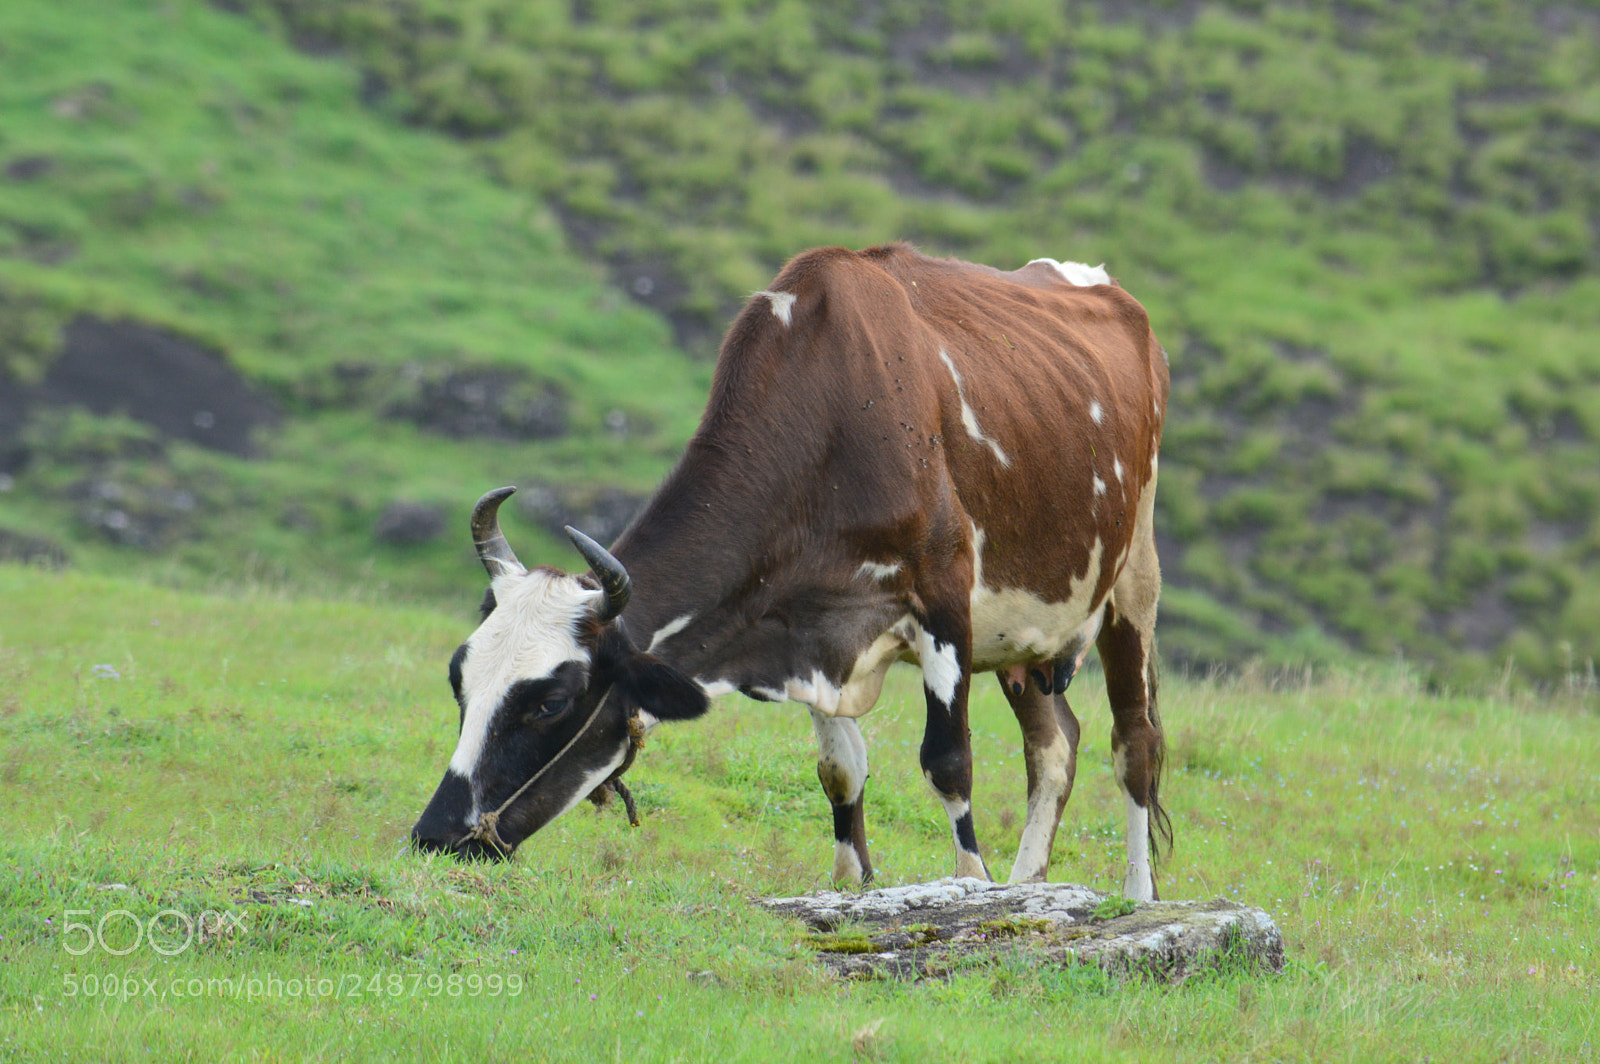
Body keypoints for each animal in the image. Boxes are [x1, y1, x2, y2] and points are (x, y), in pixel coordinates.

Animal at [410, 243, 1172, 899]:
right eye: (459, 679)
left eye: (551, 702)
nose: (436, 835)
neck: (839, 417)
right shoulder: (802, 626)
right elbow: (841, 771)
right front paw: (850, 885)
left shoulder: (945, 599)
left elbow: (948, 762)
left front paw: (972, 887)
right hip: (1025, 636)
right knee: (1055, 744)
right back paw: (1029, 883)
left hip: (1133, 577)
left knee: (1132, 744)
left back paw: (1136, 894)